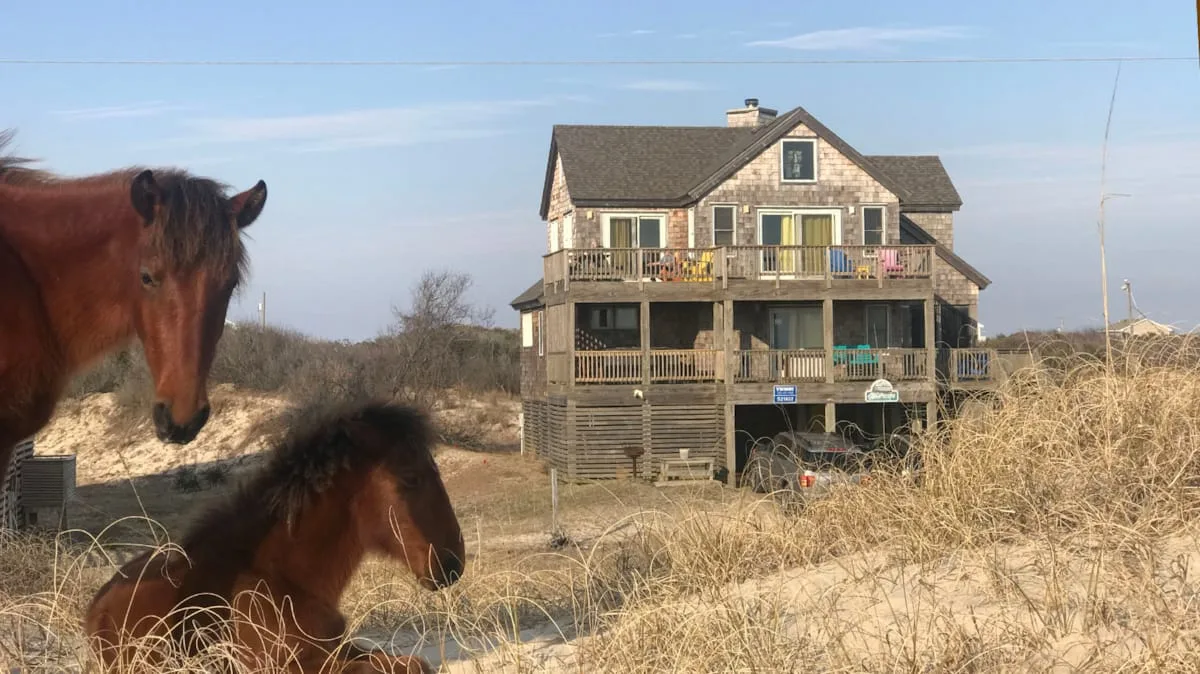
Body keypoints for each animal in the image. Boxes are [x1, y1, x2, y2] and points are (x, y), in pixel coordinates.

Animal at [84, 400, 465, 673]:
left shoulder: (339, 647)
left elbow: (412, 663)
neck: (281, 577)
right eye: (410, 478)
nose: (452, 564)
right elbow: (404, 666)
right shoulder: (295, 665)